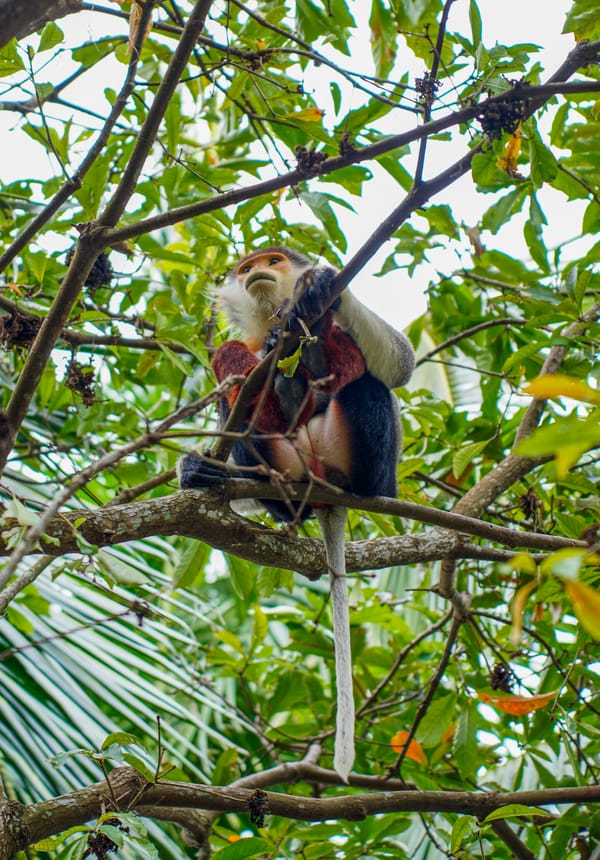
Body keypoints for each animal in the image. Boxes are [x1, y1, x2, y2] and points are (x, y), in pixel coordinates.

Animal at [177, 244, 418, 780]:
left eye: (273, 261)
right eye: (246, 269)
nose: (256, 272)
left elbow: (400, 365)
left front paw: (319, 286)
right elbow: (230, 358)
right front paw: (196, 469)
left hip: (370, 459)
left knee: (368, 387)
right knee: (232, 362)